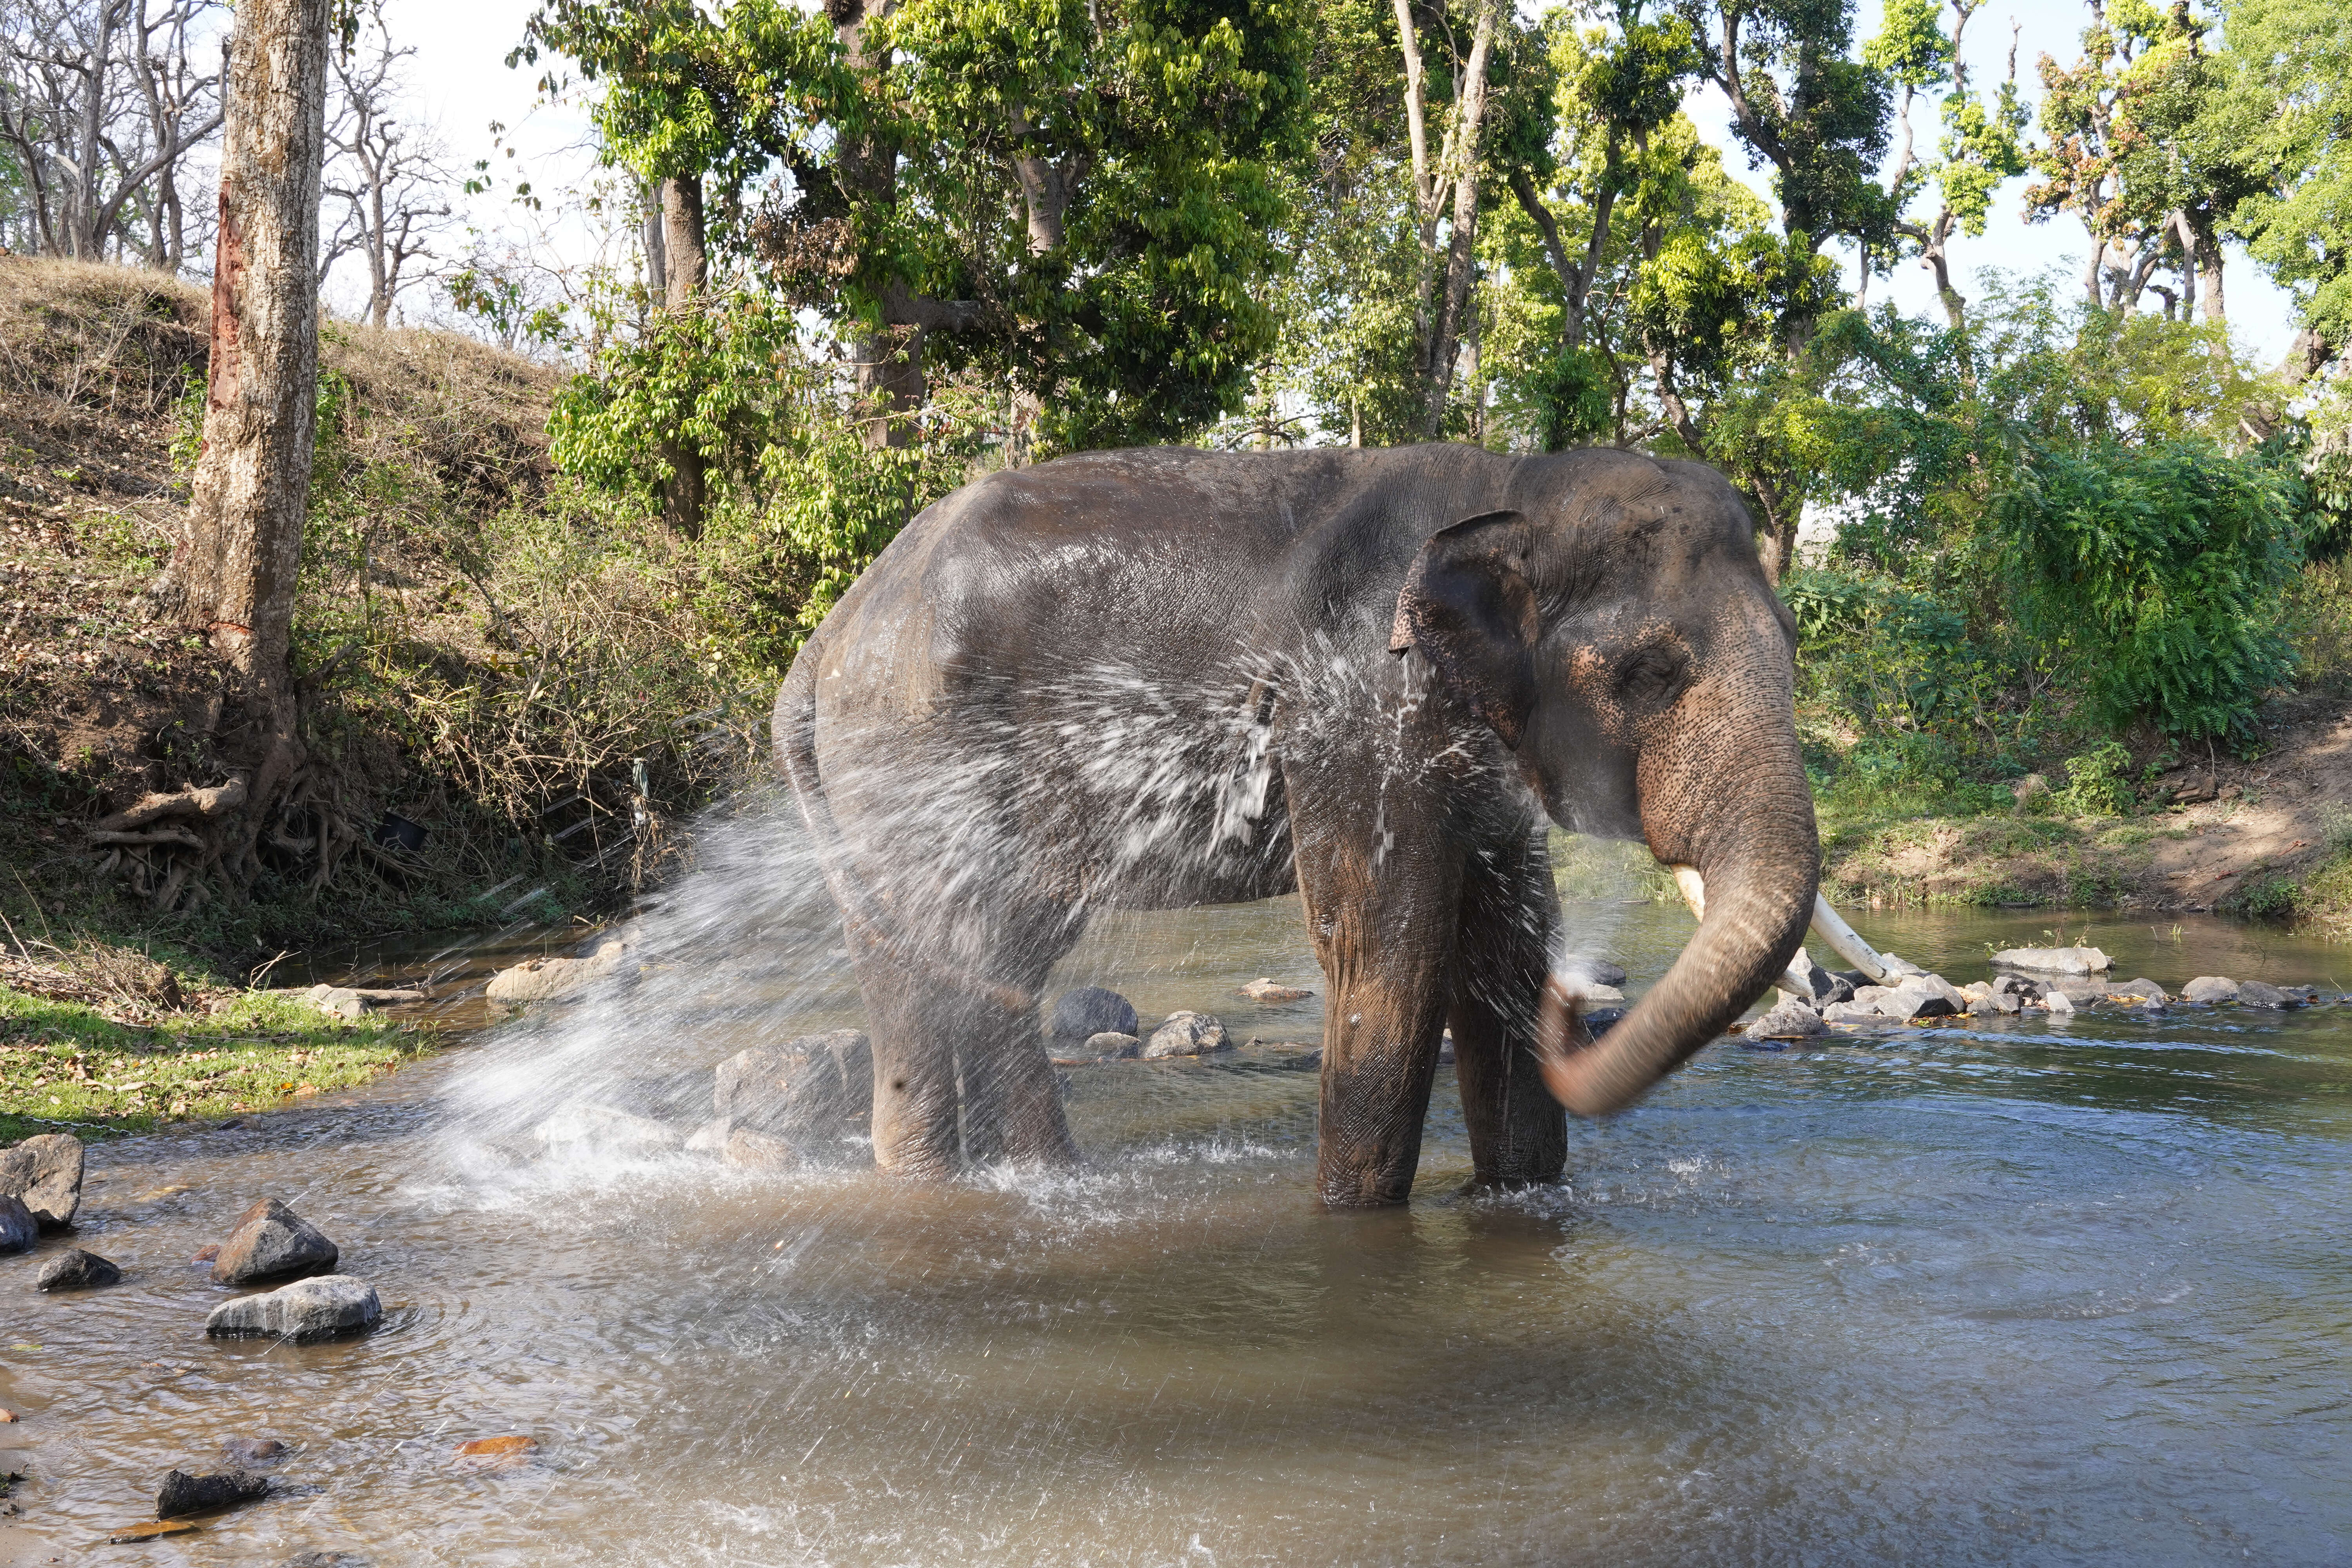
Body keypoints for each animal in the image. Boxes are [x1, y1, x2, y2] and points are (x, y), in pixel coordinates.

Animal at [781, 435, 1844, 1213]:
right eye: (1649, 672)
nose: (1576, 1008)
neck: (1517, 483)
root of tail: (826, 641)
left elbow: (1501, 941)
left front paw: (1518, 1193)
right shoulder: (1352, 715)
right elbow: (1388, 951)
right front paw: (1351, 1215)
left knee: (999, 958)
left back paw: (1044, 1181)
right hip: (905, 760)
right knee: (929, 954)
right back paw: (937, 1183)